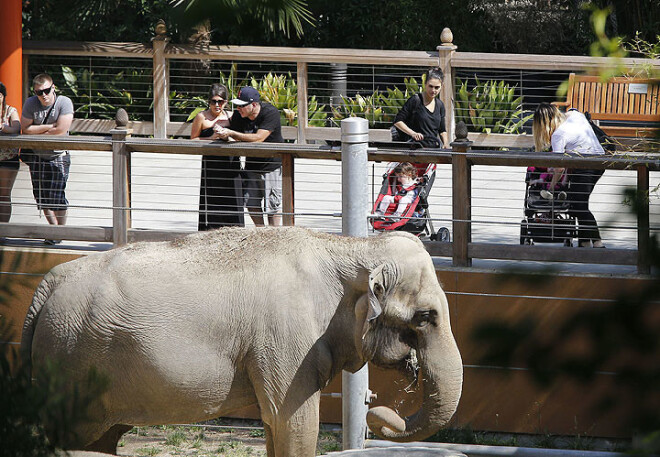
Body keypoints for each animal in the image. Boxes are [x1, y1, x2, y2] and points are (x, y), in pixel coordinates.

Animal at [21, 226, 464, 454]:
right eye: (426, 317)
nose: (377, 410)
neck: (347, 247)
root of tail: (47, 283)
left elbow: (274, 425)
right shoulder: (287, 340)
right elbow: (294, 423)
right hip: (71, 363)